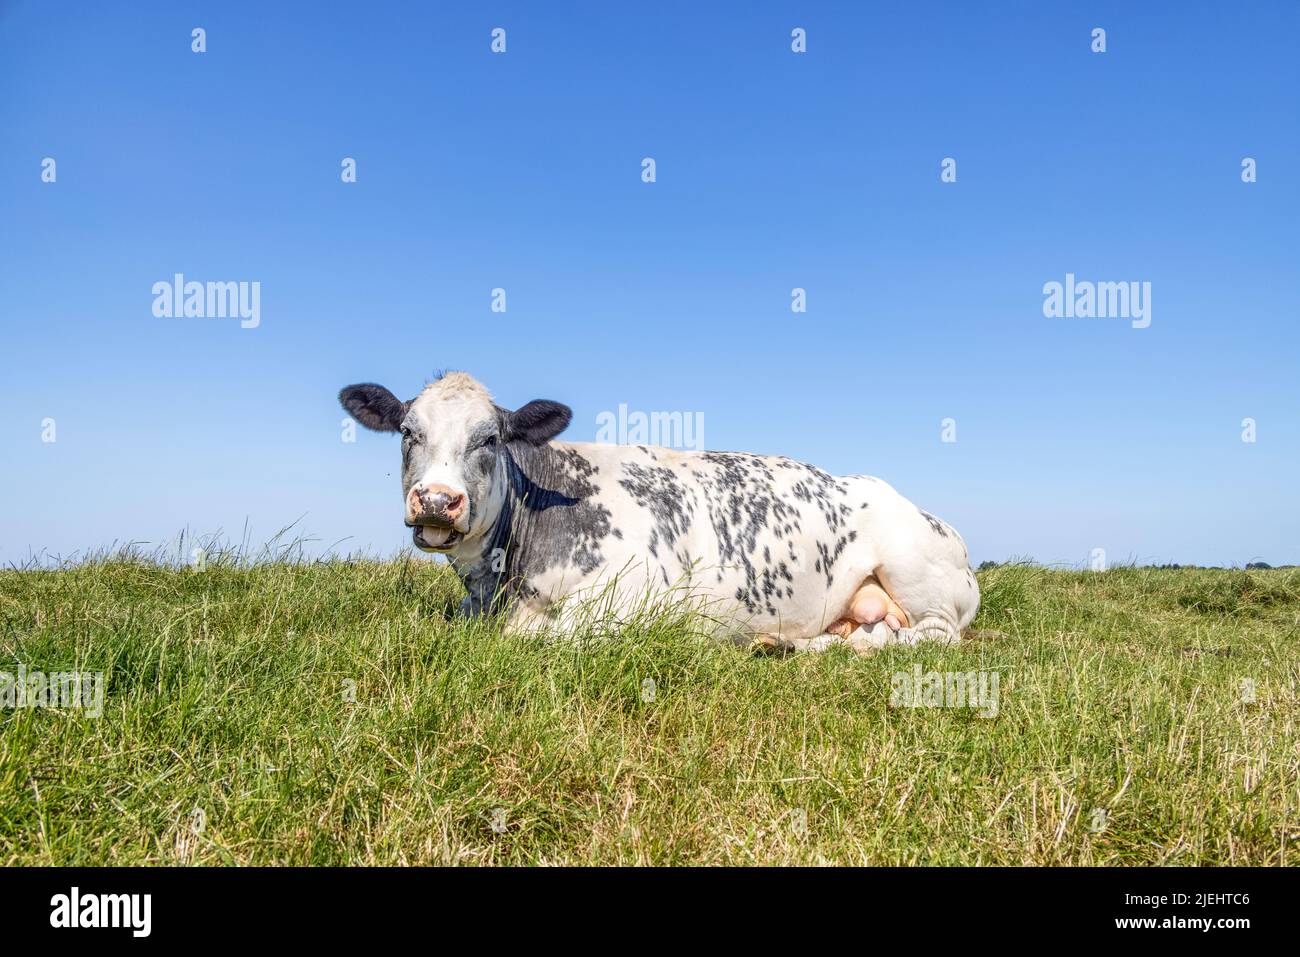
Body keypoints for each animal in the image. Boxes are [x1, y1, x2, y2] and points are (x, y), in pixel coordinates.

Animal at [340, 369, 977, 655]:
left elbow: (547, 636)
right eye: (407, 432)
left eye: (489, 438)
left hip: (917, 573)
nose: (437, 500)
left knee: (932, 636)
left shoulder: (633, 596)